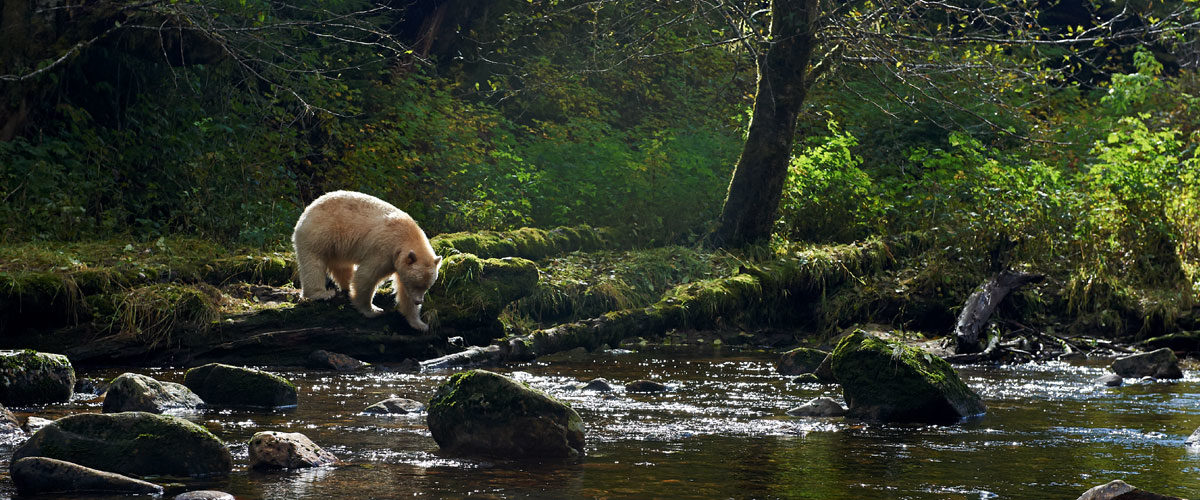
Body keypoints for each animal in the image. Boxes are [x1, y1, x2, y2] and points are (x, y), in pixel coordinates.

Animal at [292, 189, 444, 328]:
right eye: (416, 284)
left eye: (427, 286)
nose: (419, 301)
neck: (407, 236)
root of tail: (308, 208)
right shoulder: (384, 250)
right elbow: (367, 276)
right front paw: (373, 310)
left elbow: (404, 292)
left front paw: (420, 324)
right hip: (320, 232)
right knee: (313, 263)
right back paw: (322, 293)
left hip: (338, 244)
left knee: (342, 265)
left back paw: (346, 285)